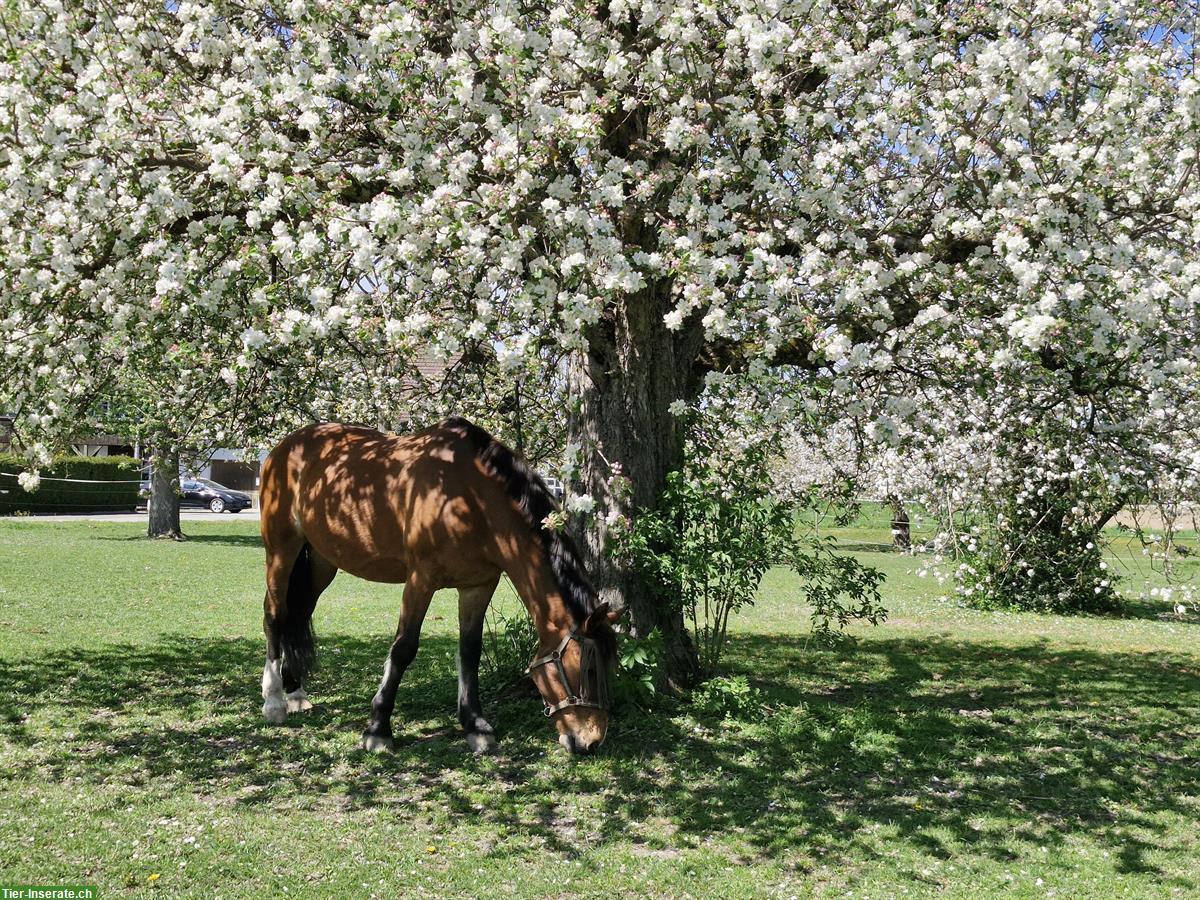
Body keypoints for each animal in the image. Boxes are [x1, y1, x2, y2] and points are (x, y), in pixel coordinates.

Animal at [260, 420, 619, 758]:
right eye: (586, 670)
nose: (590, 742)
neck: (469, 496)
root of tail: (284, 448)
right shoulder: (421, 579)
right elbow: (403, 649)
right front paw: (378, 729)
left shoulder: (478, 585)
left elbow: (470, 652)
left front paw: (475, 725)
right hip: (281, 549)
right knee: (275, 614)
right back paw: (275, 700)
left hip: (322, 561)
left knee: (299, 613)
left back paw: (295, 691)